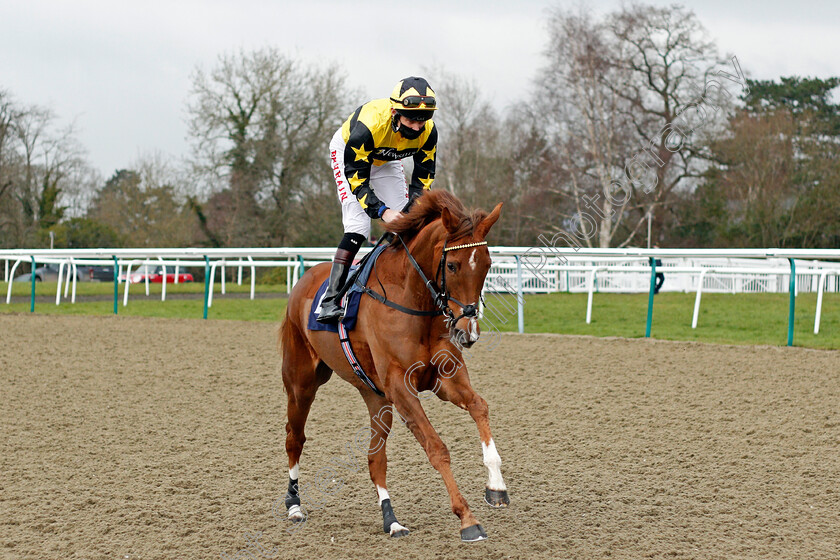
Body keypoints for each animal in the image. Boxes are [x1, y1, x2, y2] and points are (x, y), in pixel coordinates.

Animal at [278, 190, 508, 540]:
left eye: (487, 265)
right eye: (452, 265)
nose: (467, 332)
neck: (412, 299)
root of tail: (304, 280)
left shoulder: (444, 378)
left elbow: (479, 406)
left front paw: (496, 485)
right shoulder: (402, 386)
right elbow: (436, 447)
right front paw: (467, 518)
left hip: (376, 396)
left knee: (375, 460)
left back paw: (392, 519)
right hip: (301, 383)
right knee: (295, 437)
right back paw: (294, 504)